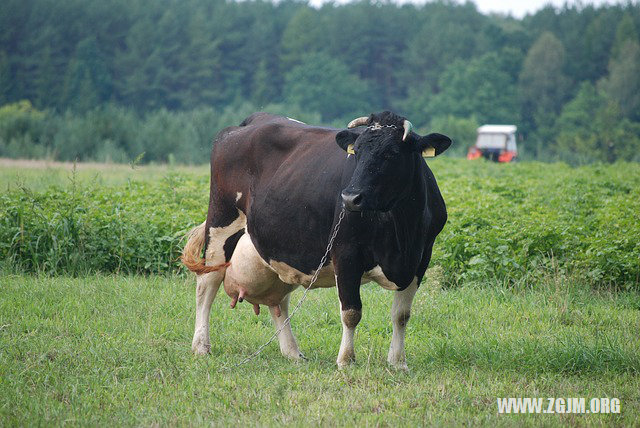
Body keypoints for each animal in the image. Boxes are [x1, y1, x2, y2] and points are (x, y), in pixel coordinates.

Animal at [180, 110, 450, 368]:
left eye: (391, 153)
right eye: (357, 152)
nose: (350, 198)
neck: (400, 228)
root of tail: (251, 121)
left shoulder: (421, 257)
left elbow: (401, 315)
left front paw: (398, 362)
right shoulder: (346, 252)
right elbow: (351, 312)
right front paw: (346, 361)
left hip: (280, 244)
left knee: (279, 302)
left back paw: (292, 352)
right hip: (220, 223)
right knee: (207, 285)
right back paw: (201, 346)